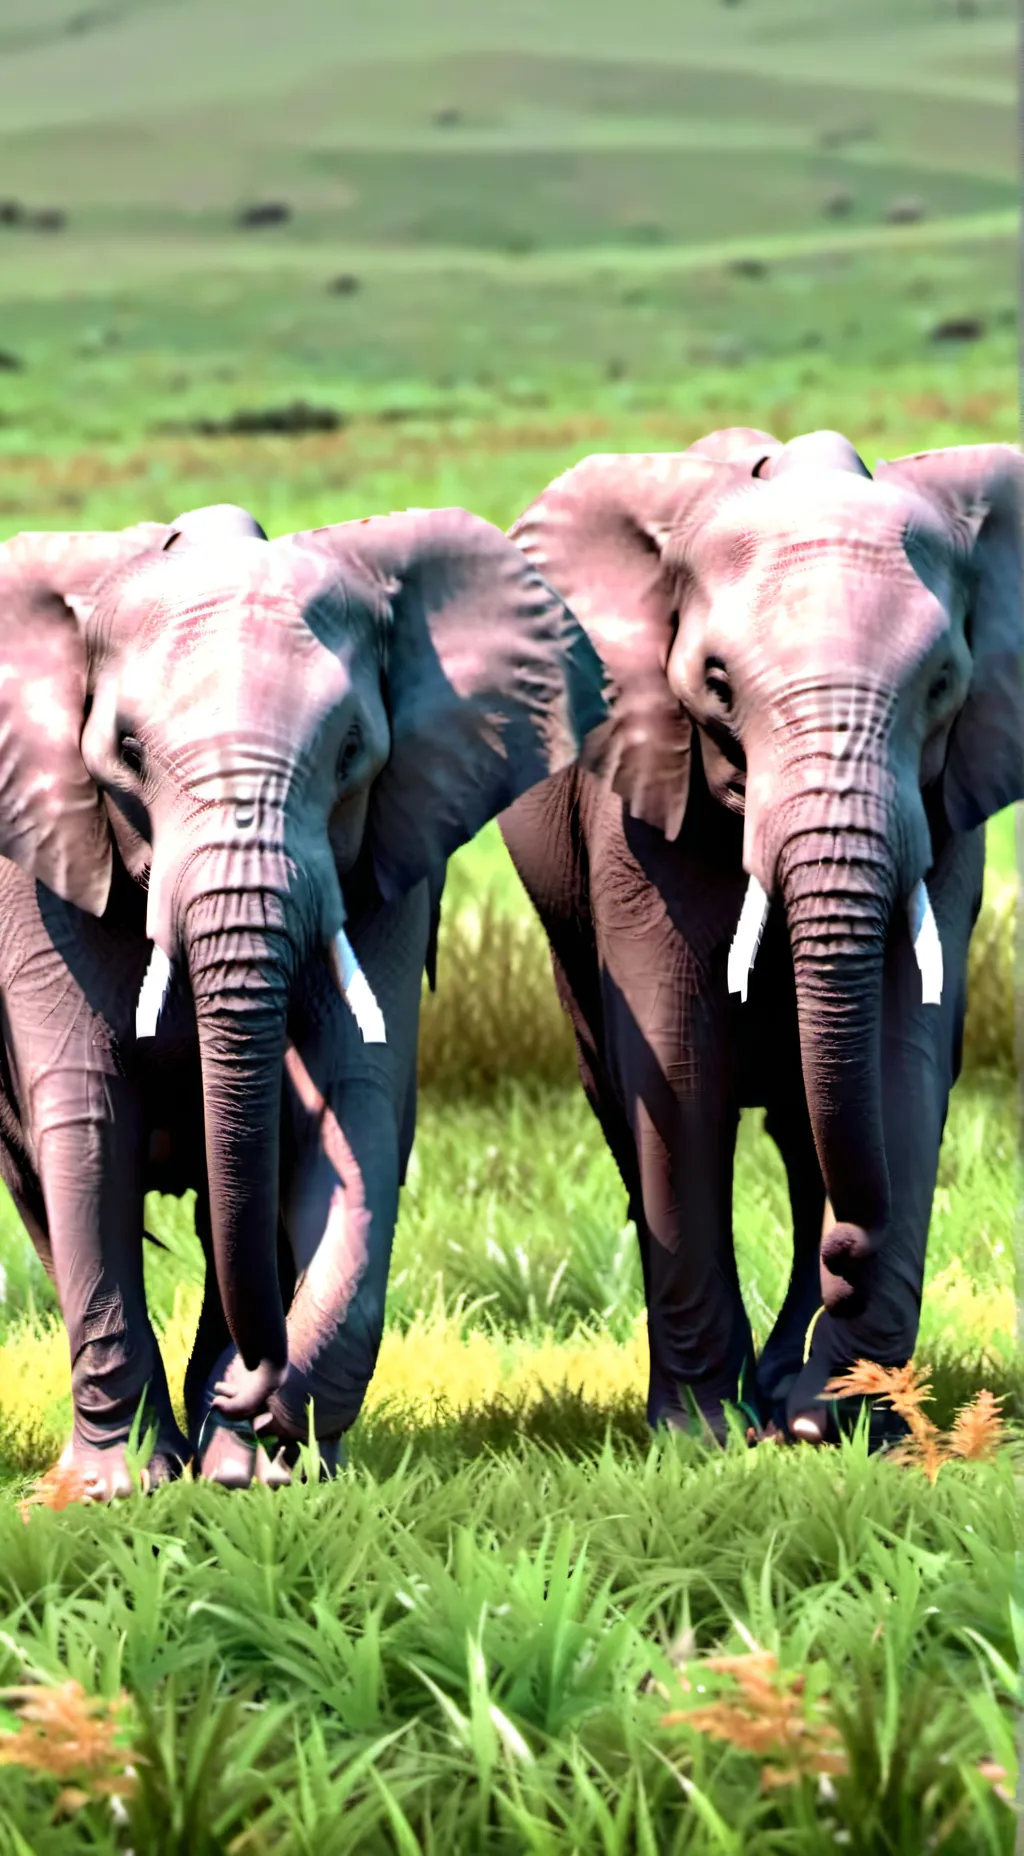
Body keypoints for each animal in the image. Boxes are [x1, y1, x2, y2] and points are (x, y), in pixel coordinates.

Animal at [0, 502, 607, 1495]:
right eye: (125, 751)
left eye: (352, 749)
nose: (251, 1381)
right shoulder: (39, 859)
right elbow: (89, 1118)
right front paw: (108, 1495)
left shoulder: (394, 850)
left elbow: (352, 1099)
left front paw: (268, 1464)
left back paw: (233, 1458)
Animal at [499, 427, 1024, 1446]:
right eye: (717, 684)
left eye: (944, 683)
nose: (848, 1257)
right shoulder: (641, 798)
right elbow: (677, 1063)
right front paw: (703, 1436)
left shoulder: (947, 807)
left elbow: (903, 1053)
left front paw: (837, 1426)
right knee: (625, 1102)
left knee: (808, 1127)